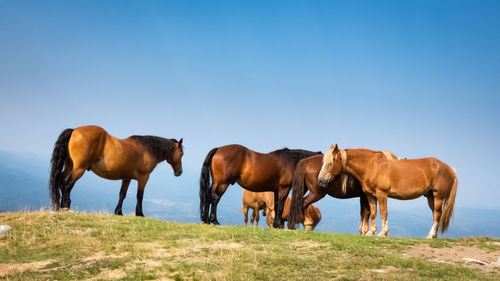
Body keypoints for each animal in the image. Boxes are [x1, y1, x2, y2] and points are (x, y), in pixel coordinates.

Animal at [48, 123, 184, 215]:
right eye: (181, 154)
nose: (179, 172)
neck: (147, 149)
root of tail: (74, 130)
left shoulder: (127, 177)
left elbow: (122, 194)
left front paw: (118, 212)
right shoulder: (144, 178)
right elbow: (139, 195)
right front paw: (140, 214)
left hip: (70, 166)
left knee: (61, 182)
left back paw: (61, 207)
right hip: (79, 169)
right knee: (67, 184)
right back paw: (65, 208)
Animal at [320, 144, 458, 238]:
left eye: (330, 163)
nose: (321, 180)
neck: (373, 166)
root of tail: (450, 168)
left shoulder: (382, 194)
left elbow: (383, 213)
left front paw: (383, 233)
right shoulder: (370, 195)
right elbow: (374, 213)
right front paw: (371, 232)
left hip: (438, 196)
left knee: (437, 214)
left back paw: (430, 235)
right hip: (430, 197)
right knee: (436, 214)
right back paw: (434, 235)